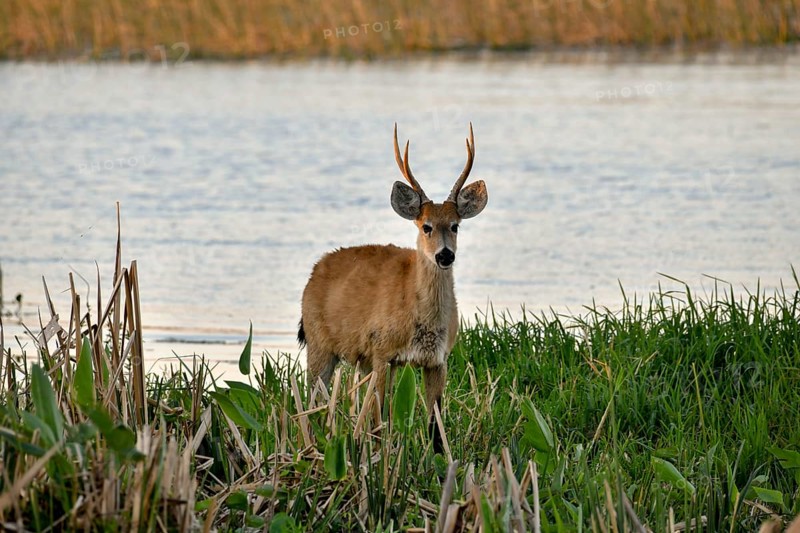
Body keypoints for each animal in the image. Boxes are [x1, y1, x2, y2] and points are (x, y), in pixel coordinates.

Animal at [298, 123, 488, 450]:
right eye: (426, 226)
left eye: (455, 225)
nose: (445, 255)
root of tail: (315, 270)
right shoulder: (382, 352)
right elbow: (378, 421)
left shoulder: (437, 360)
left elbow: (435, 425)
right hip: (319, 343)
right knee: (313, 404)